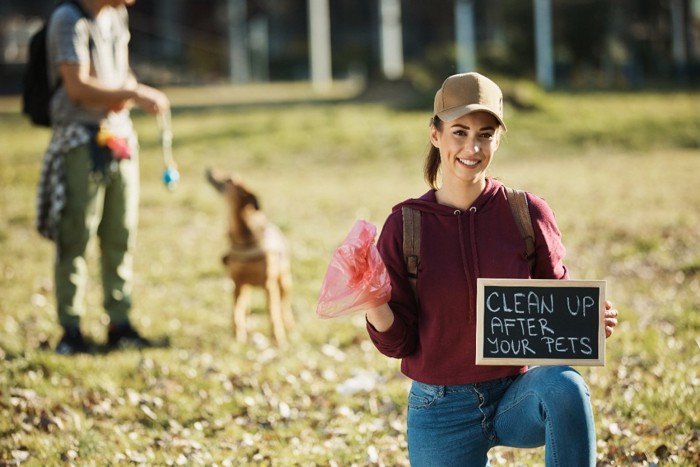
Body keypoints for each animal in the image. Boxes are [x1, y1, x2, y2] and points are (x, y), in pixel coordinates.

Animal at [208, 168, 296, 344]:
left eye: (229, 178)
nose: (209, 169)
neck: (245, 240)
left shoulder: (269, 285)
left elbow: (273, 313)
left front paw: (278, 339)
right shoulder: (237, 282)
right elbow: (237, 311)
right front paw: (238, 336)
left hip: (284, 281)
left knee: (284, 306)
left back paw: (289, 325)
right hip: (244, 287)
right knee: (244, 307)